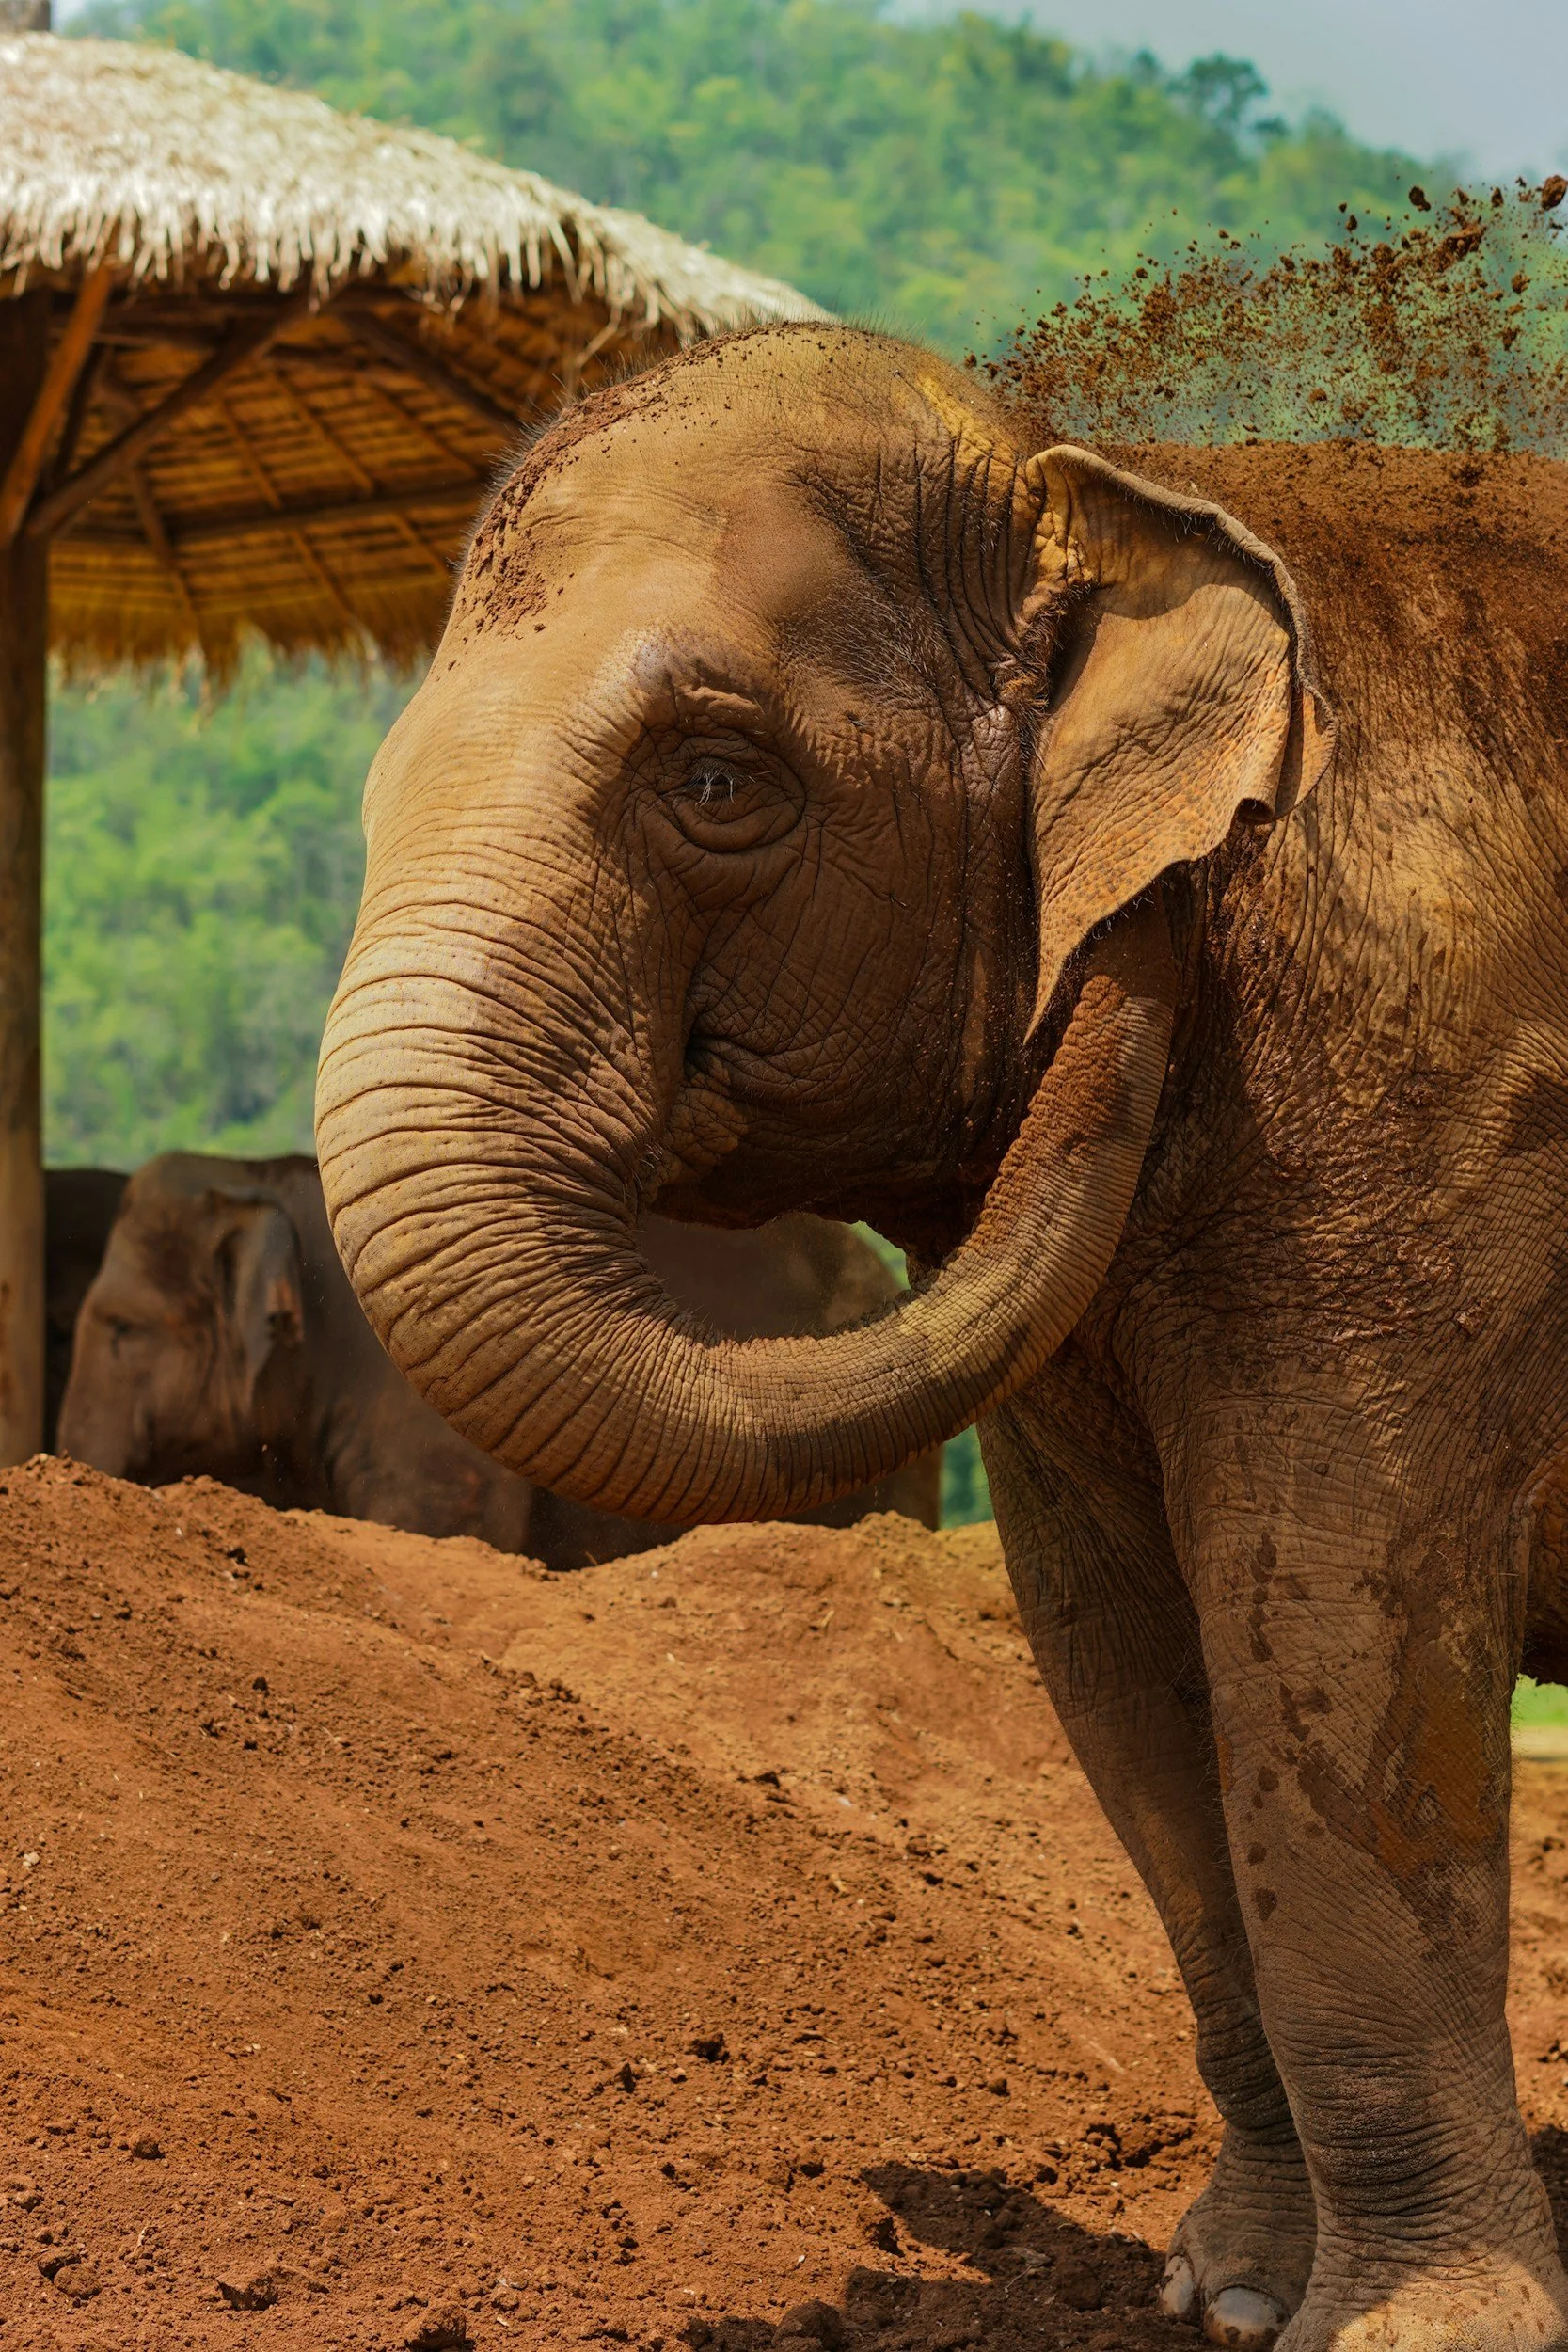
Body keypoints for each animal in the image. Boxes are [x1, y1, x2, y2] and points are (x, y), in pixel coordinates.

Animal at [314, 321, 1568, 2350]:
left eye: (716, 780)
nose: (1126, 945)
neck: (1117, 486)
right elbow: (1127, 1675)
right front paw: (1222, 2294)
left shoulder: (1427, 1105)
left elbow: (1329, 1641)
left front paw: (1407, 2335)